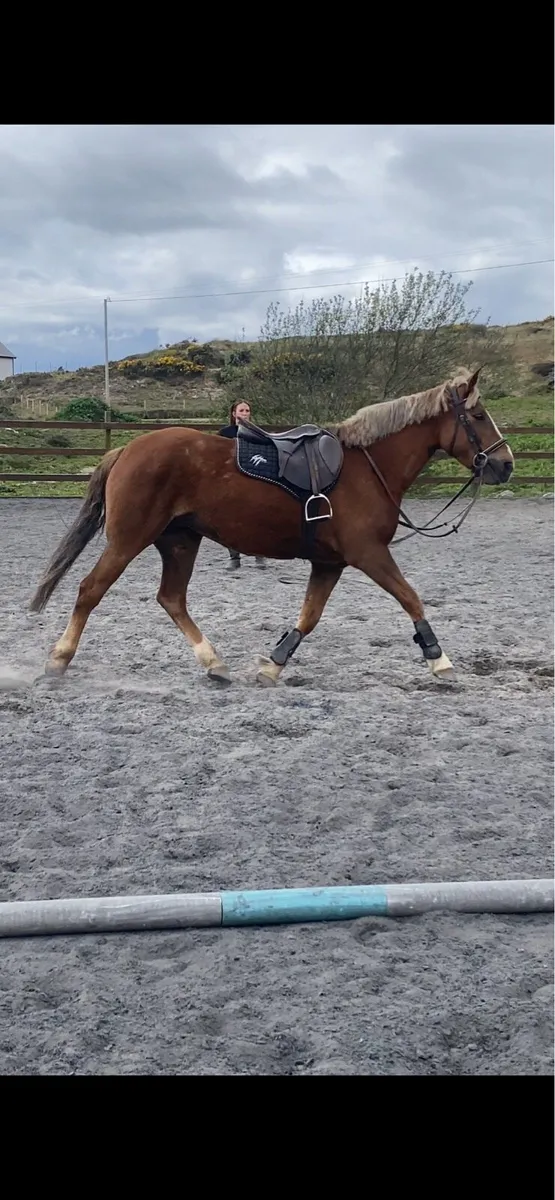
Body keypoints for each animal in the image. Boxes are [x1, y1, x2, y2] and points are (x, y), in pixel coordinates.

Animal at [29, 366, 514, 687]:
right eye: (479, 416)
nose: (506, 464)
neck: (368, 467)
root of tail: (127, 449)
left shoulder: (330, 563)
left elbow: (309, 617)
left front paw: (274, 662)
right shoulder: (369, 554)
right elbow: (411, 598)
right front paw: (439, 659)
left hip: (180, 541)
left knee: (171, 599)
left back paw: (213, 662)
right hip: (129, 540)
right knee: (90, 590)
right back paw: (58, 660)